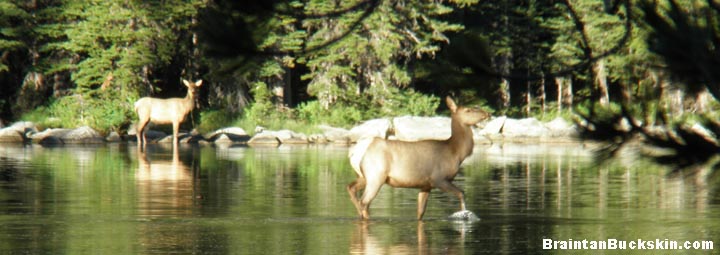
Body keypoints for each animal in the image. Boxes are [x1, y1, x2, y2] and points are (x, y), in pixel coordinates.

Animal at [348, 96, 490, 220]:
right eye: (468, 110)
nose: (487, 113)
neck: (456, 152)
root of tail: (356, 151)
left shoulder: (426, 185)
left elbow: (420, 212)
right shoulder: (438, 178)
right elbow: (461, 193)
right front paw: (464, 214)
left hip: (364, 176)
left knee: (351, 188)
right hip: (376, 175)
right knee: (364, 202)